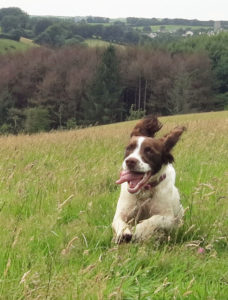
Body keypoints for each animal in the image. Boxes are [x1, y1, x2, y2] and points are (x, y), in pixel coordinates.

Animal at [112, 115, 185, 244]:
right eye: (129, 148)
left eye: (149, 150)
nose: (130, 161)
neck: (144, 191)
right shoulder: (121, 212)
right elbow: (120, 222)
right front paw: (124, 234)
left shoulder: (168, 218)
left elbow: (151, 221)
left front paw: (138, 231)